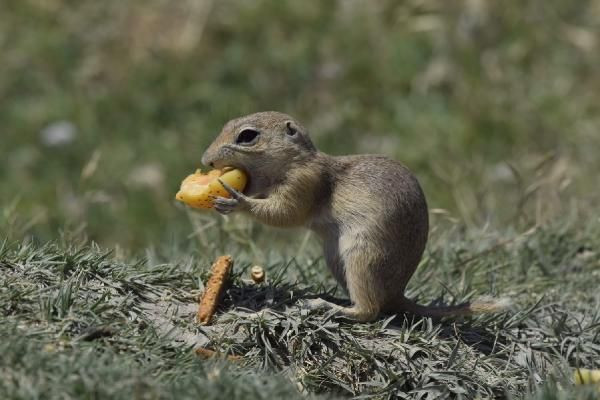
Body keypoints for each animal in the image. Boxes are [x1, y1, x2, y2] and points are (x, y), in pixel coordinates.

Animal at [200, 111, 506, 322]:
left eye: (247, 136)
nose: (206, 160)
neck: (296, 162)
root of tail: (397, 293)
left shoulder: (305, 184)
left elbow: (285, 214)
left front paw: (237, 201)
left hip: (362, 257)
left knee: (369, 311)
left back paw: (324, 306)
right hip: (336, 259)